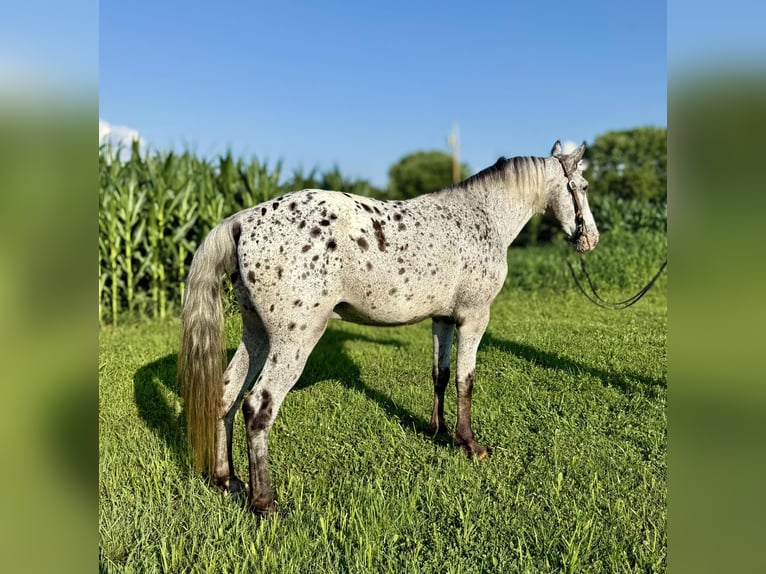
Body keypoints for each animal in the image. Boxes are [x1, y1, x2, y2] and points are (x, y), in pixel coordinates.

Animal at [178, 140, 599, 514]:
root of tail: (241, 221)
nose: (590, 238)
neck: (482, 216)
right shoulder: (474, 317)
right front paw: (470, 445)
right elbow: (465, 380)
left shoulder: (442, 319)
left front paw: (436, 430)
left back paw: (227, 481)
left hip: (257, 335)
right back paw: (264, 504)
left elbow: (440, 374)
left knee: (226, 394)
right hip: (293, 340)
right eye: (582, 186)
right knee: (258, 406)